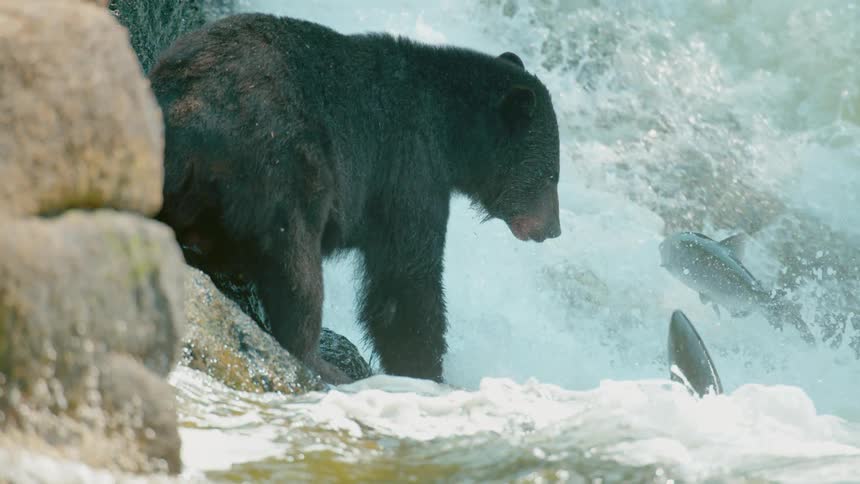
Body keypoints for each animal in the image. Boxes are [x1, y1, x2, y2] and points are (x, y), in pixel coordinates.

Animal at [148, 13, 561, 385]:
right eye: (551, 174)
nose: (553, 229)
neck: (451, 131)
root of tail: (190, 121)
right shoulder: (409, 167)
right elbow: (407, 277)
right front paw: (425, 369)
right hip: (285, 165)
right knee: (298, 265)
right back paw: (318, 360)